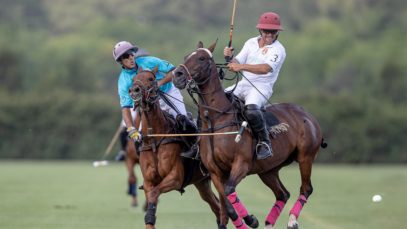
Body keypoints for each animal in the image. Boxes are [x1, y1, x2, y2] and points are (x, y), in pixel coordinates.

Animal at [129, 66, 228, 229]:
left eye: (151, 79)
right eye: (133, 79)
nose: (134, 90)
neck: (156, 140)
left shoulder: (175, 177)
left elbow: (154, 194)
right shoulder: (148, 182)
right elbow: (151, 200)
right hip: (202, 183)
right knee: (217, 207)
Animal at [173, 41, 328, 229]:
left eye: (202, 58)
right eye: (186, 56)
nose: (177, 75)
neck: (217, 120)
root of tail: (308, 115)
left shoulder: (241, 164)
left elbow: (229, 191)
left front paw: (251, 220)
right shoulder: (215, 172)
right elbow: (227, 204)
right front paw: (248, 220)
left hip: (306, 157)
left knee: (306, 188)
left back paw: (292, 221)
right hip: (268, 169)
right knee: (282, 193)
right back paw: (269, 223)